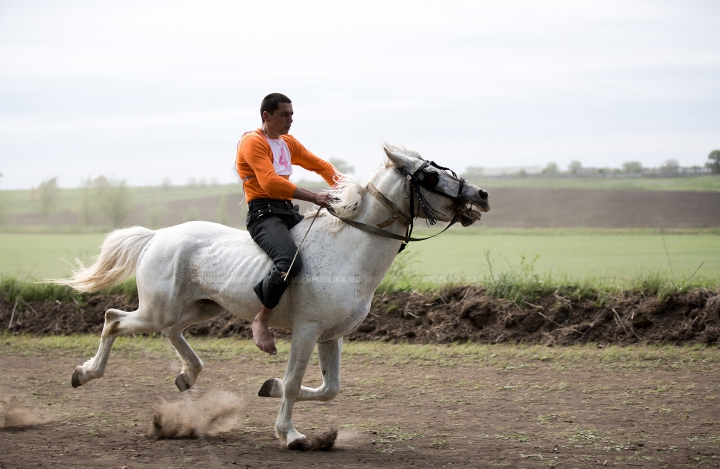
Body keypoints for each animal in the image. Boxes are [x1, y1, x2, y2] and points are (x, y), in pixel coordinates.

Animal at [56, 144, 490, 450]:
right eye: (430, 176)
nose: (482, 194)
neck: (350, 249)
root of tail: (158, 235)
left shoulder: (331, 336)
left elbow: (330, 388)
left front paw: (270, 387)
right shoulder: (307, 331)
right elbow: (296, 382)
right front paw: (291, 435)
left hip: (199, 308)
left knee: (169, 332)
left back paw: (187, 374)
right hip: (157, 309)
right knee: (113, 318)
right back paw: (84, 373)